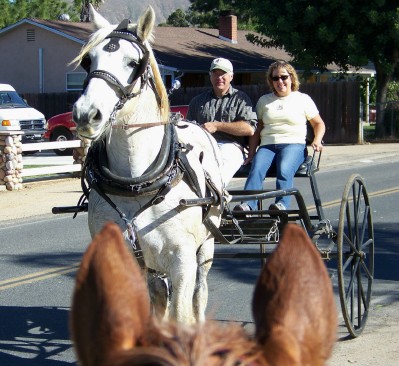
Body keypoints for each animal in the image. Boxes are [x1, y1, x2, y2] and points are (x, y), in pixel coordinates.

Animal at [70, 3, 223, 324]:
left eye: (133, 62)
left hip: (206, 248)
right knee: (158, 294)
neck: (136, 183)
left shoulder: (183, 260)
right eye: (88, 60)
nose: (86, 113)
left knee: (199, 295)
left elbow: (180, 314)